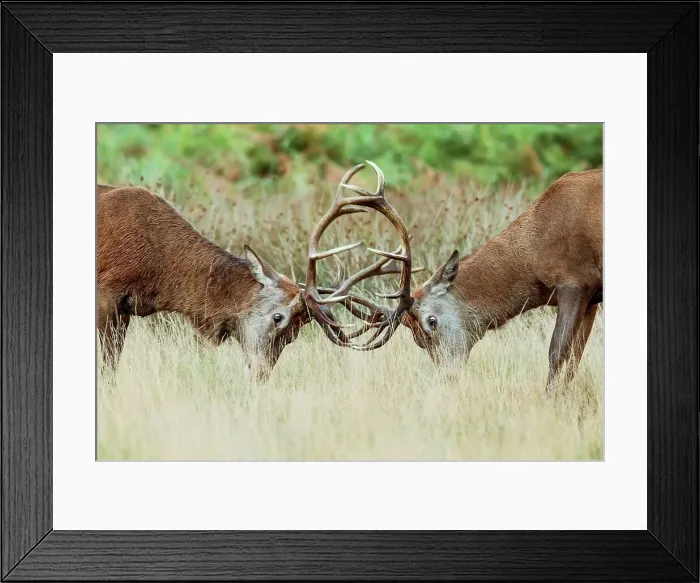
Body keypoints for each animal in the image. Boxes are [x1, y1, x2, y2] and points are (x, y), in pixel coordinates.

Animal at [96, 162, 418, 382]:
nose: (260, 375)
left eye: (294, 336)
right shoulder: (106, 294)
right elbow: (106, 368)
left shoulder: (125, 310)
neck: (157, 273)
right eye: (278, 317)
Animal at [343, 168, 603, 392]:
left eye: (431, 321)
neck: (536, 250)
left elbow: (557, 352)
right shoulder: (591, 299)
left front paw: (550, 400)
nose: (449, 377)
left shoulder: (575, 280)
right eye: (418, 341)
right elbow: (575, 359)